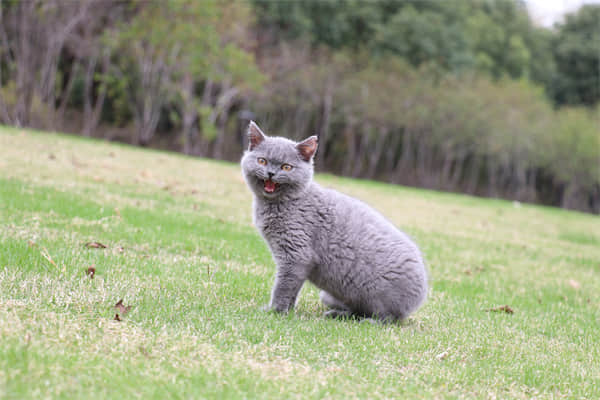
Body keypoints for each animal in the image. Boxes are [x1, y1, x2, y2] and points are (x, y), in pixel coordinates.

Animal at [239, 122, 426, 322]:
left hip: (380, 300)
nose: (271, 173)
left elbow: (283, 287)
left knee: (388, 318)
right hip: (329, 296)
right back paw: (336, 314)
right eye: (262, 161)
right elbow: (290, 289)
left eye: (287, 167)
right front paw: (285, 311)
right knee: (357, 310)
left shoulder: (296, 255)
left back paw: (368, 321)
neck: (283, 204)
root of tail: (422, 294)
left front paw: (275, 311)